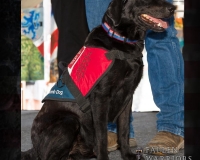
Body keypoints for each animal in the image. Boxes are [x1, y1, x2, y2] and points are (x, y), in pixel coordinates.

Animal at [21, 0, 175, 159]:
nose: (173, 8)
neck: (120, 40)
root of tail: (34, 147)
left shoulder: (127, 96)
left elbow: (124, 130)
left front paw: (127, 155)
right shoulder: (100, 97)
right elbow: (102, 136)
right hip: (70, 120)